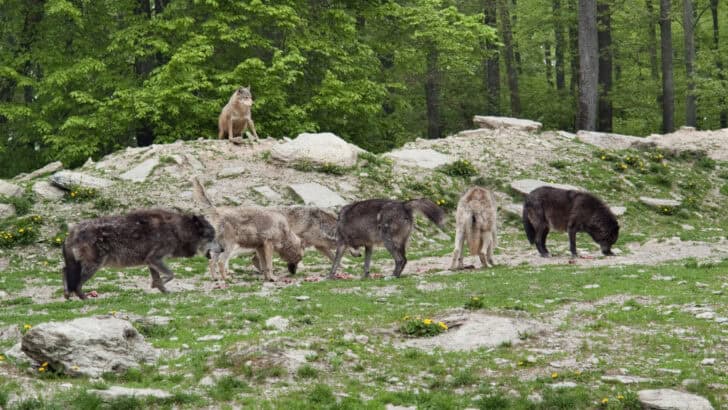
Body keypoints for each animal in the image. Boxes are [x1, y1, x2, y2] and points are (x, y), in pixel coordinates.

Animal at [62, 209, 220, 300]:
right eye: (212, 237)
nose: (223, 249)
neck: (177, 230)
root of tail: (72, 231)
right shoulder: (155, 259)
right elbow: (171, 275)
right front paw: (158, 286)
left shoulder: (151, 262)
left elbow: (158, 279)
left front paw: (163, 291)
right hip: (94, 266)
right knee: (77, 283)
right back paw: (84, 298)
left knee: (64, 271)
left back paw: (67, 295)